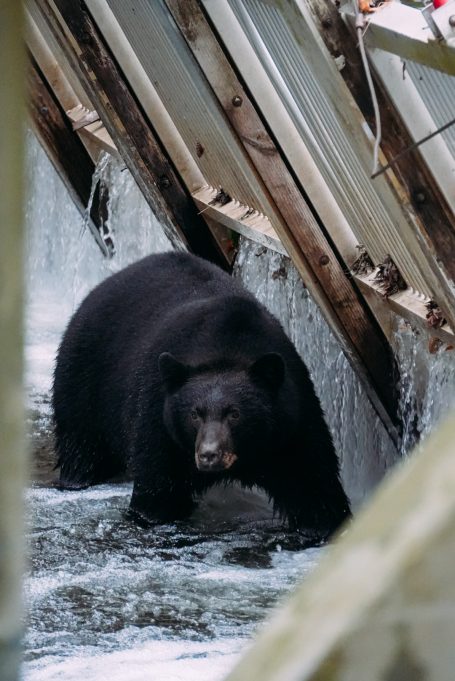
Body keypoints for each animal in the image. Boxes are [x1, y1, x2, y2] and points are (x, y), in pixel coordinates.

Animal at [53, 252, 350, 541]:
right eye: (194, 414)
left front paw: (322, 525)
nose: (209, 455)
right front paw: (151, 513)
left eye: (235, 413)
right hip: (84, 378)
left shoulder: (291, 421)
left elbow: (313, 482)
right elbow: (157, 487)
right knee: (82, 445)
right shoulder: (159, 418)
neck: (227, 348)